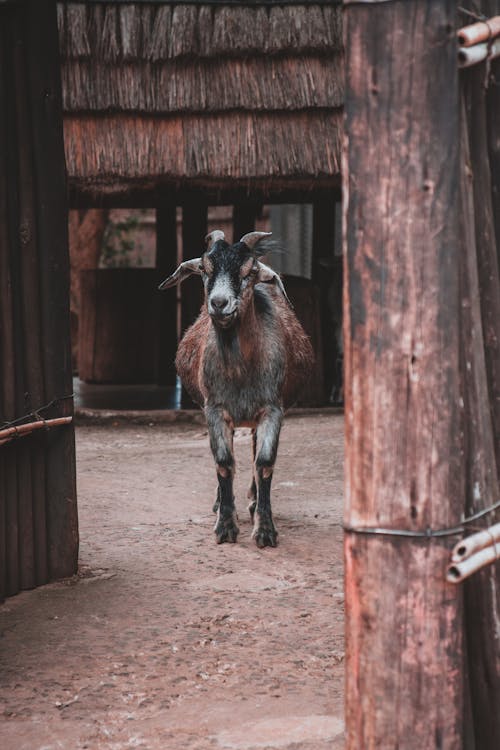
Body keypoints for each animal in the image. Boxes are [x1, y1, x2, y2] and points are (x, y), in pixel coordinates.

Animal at [158, 232, 312, 548]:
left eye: (249, 272)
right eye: (204, 269)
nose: (219, 303)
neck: (241, 371)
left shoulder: (272, 409)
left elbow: (264, 462)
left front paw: (265, 530)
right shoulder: (214, 409)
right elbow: (224, 462)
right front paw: (226, 526)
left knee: (253, 450)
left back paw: (252, 502)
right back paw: (220, 504)